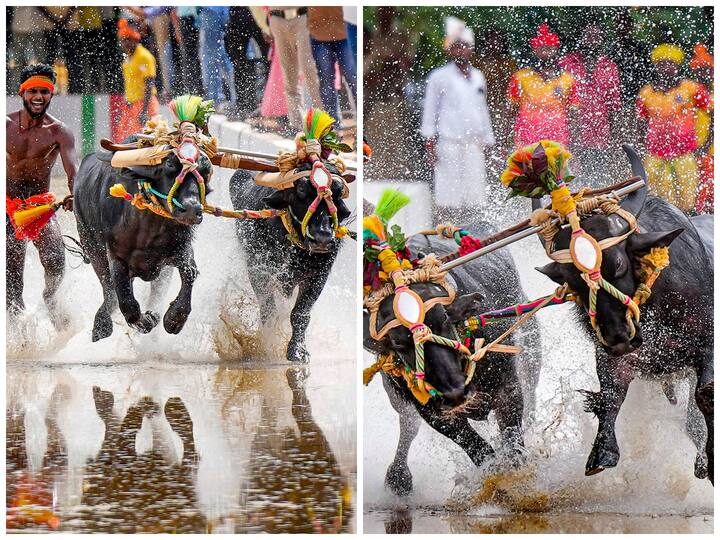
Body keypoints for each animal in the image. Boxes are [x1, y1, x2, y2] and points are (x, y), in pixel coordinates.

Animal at [74, 147, 212, 342]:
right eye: (170, 164)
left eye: (205, 171)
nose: (192, 209)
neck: (150, 227)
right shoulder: (115, 256)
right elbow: (126, 301)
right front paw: (145, 321)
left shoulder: (180, 249)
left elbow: (189, 273)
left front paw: (174, 319)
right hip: (92, 249)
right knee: (110, 293)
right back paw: (101, 327)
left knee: (155, 292)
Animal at [231, 166, 352, 362]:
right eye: (301, 189)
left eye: (338, 192)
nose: (322, 238)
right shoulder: (258, 270)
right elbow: (269, 311)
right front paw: (266, 345)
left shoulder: (318, 277)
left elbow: (300, 314)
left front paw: (297, 350)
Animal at [362, 231, 536, 494]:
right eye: (398, 342)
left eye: (443, 318)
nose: (455, 392)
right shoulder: (434, 413)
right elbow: (479, 450)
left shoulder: (508, 388)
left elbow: (512, 441)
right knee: (408, 426)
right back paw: (398, 476)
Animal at [536, 146, 716, 484]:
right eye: (571, 281)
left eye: (618, 264)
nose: (619, 336)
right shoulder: (610, 355)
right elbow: (610, 397)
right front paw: (602, 453)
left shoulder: (708, 347)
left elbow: (706, 395)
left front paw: (709, 461)